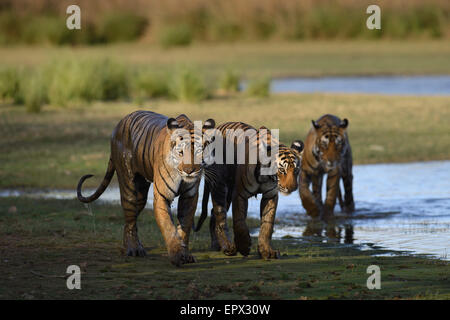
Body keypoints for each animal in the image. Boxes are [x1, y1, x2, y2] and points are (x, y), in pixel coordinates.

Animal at [76, 111, 215, 266]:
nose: (189, 171)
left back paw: (127, 247)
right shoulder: (162, 196)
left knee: (130, 220)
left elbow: (184, 228)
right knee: (130, 218)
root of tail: (119, 124)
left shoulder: (189, 196)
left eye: (199, 152)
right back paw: (134, 249)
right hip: (128, 185)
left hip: (141, 194)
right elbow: (168, 227)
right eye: (180, 152)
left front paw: (185, 254)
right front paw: (177, 255)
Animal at [193, 121, 302, 258]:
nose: (292, 188)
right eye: (282, 170)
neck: (265, 177)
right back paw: (228, 247)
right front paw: (244, 246)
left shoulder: (270, 195)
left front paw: (266, 251)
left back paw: (217, 245)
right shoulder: (240, 194)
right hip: (220, 186)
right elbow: (239, 221)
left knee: (213, 214)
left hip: (228, 193)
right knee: (220, 215)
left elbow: (267, 224)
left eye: (296, 170)